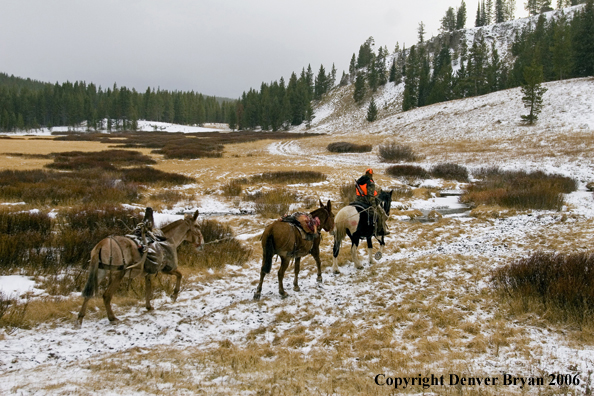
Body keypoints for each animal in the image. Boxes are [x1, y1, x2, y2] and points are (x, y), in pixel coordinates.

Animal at [76, 210, 204, 328]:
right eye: (197, 226)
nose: (202, 243)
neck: (168, 239)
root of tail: (100, 246)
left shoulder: (149, 273)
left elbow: (148, 289)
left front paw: (149, 306)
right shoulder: (167, 269)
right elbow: (179, 275)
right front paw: (174, 295)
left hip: (100, 272)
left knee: (88, 294)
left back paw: (80, 318)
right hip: (118, 273)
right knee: (106, 295)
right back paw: (112, 317)